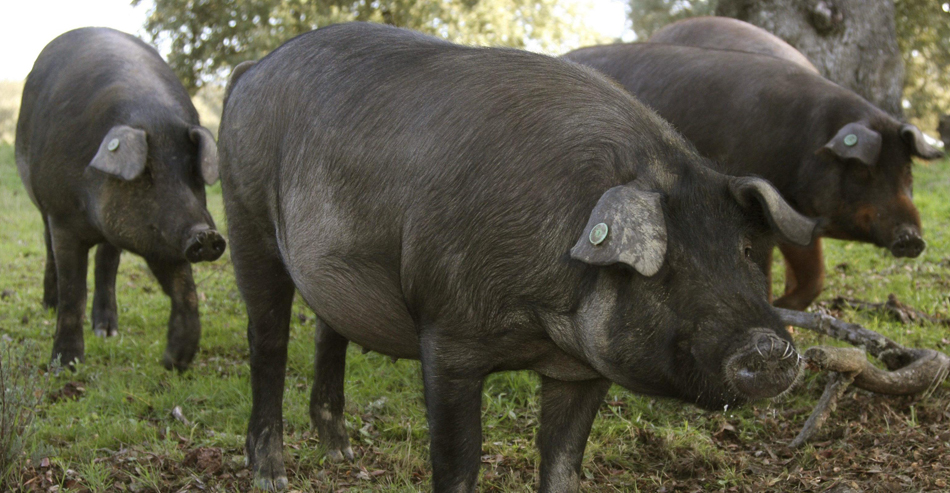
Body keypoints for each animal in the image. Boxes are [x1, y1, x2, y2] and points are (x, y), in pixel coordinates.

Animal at [16, 28, 227, 368]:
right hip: (42, 204)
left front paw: (175, 361)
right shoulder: (62, 217)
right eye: (147, 172)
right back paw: (50, 305)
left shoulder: (161, 235)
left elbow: (185, 289)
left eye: (192, 172)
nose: (207, 235)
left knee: (107, 261)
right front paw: (65, 365)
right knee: (50, 250)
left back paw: (106, 331)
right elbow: (73, 291)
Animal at [218, 24, 820, 492]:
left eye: (746, 251)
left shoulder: (583, 370)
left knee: (329, 330)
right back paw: (271, 475)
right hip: (245, 216)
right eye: (662, 268)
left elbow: (563, 465)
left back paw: (341, 454)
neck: (540, 325)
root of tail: (250, 70)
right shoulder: (447, 337)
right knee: (267, 340)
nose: (768, 346)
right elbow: (458, 465)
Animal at [564, 34, 944, 310]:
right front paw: (778, 306)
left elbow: (813, 275)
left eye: (907, 170)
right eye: (864, 171)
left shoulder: (800, 219)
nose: (912, 237)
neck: (809, 144)